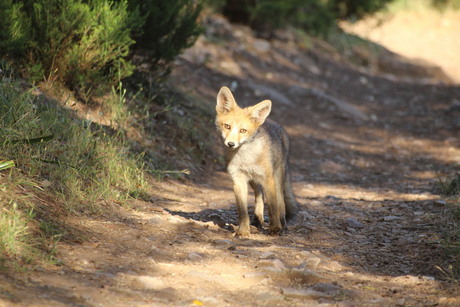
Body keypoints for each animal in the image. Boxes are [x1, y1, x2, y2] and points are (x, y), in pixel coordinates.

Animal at [216, 86, 298, 238]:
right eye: (227, 126)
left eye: (243, 130)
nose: (230, 144)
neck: (245, 158)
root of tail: (274, 123)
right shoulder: (238, 180)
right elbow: (242, 212)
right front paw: (243, 231)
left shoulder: (268, 179)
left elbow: (273, 207)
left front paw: (275, 228)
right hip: (254, 181)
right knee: (259, 196)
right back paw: (257, 219)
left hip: (277, 179)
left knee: (281, 202)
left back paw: (282, 224)